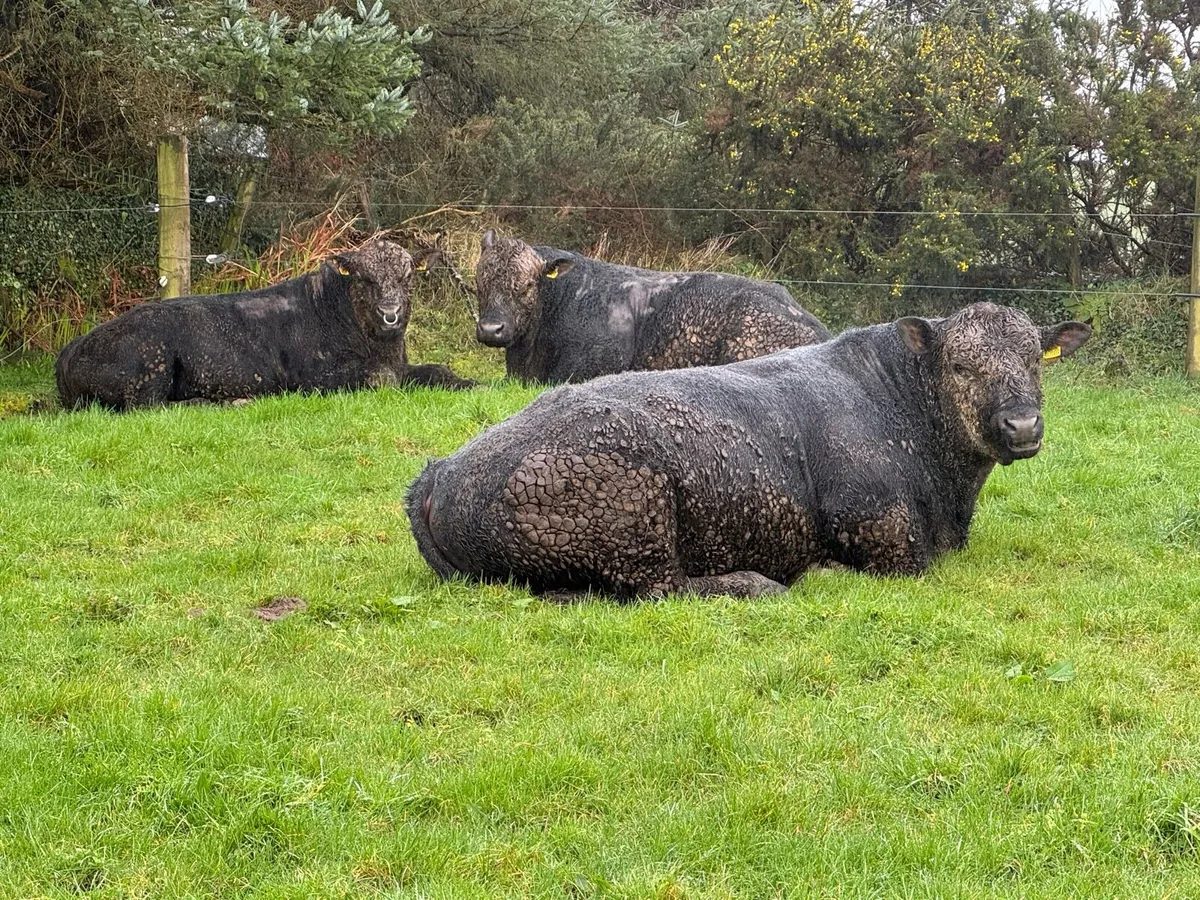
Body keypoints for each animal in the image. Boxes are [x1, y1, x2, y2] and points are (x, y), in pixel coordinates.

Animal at [56, 240, 474, 411]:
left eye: (407, 277)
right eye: (365, 278)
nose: (391, 313)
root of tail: (69, 351)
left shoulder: (402, 363)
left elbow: (437, 369)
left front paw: (473, 382)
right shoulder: (318, 380)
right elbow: (381, 379)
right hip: (148, 365)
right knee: (150, 407)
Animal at [407, 302, 1091, 600]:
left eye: (1035, 359)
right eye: (960, 365)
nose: (1022, 424)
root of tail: (439, 473)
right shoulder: (884, 534)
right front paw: (819, 569)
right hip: (635, 518)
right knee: (662, 589)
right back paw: (754, 583)